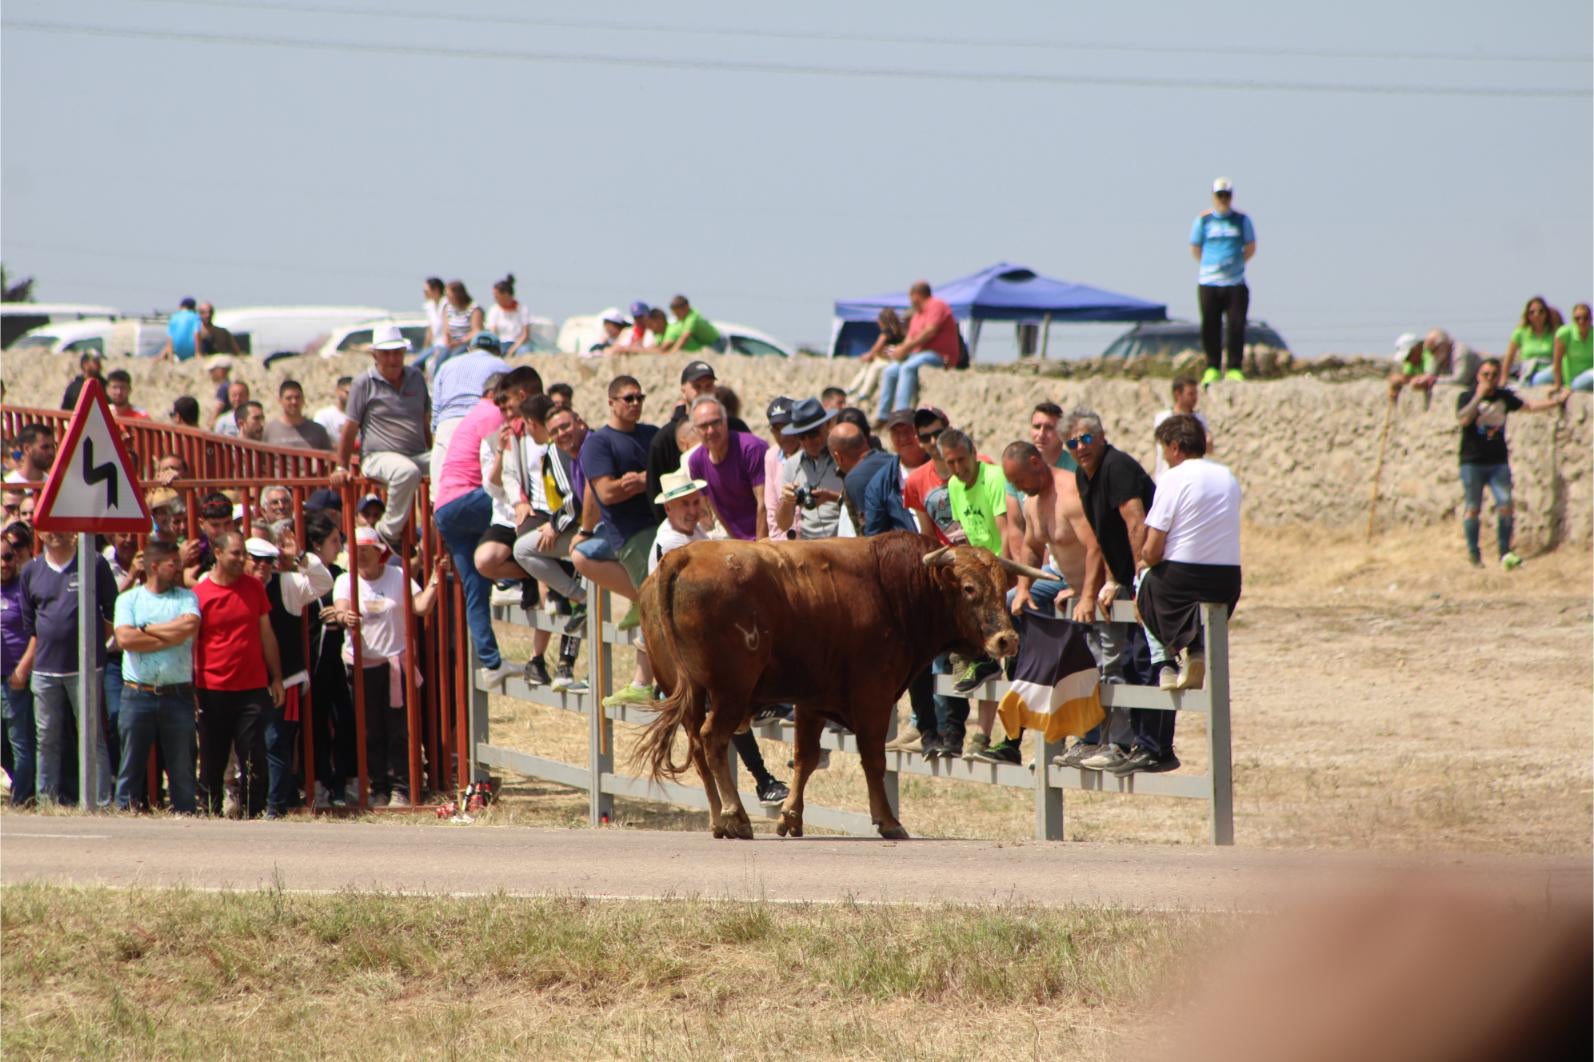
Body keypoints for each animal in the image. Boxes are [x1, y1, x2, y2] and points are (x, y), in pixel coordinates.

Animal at [628, 532, 1026, 841]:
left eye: (1003, 587)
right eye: (969, 588)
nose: (1007, 640)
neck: (894, 588)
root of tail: (682, 556)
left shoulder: (812, 702)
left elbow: (805, 759)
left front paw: (791, 817)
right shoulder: (873, 697)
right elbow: (874, 760)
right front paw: (888, 821)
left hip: (691, 694)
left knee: (697, 746)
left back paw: (717, 819)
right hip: (730, 692)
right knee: (712, 740)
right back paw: (735, 817)